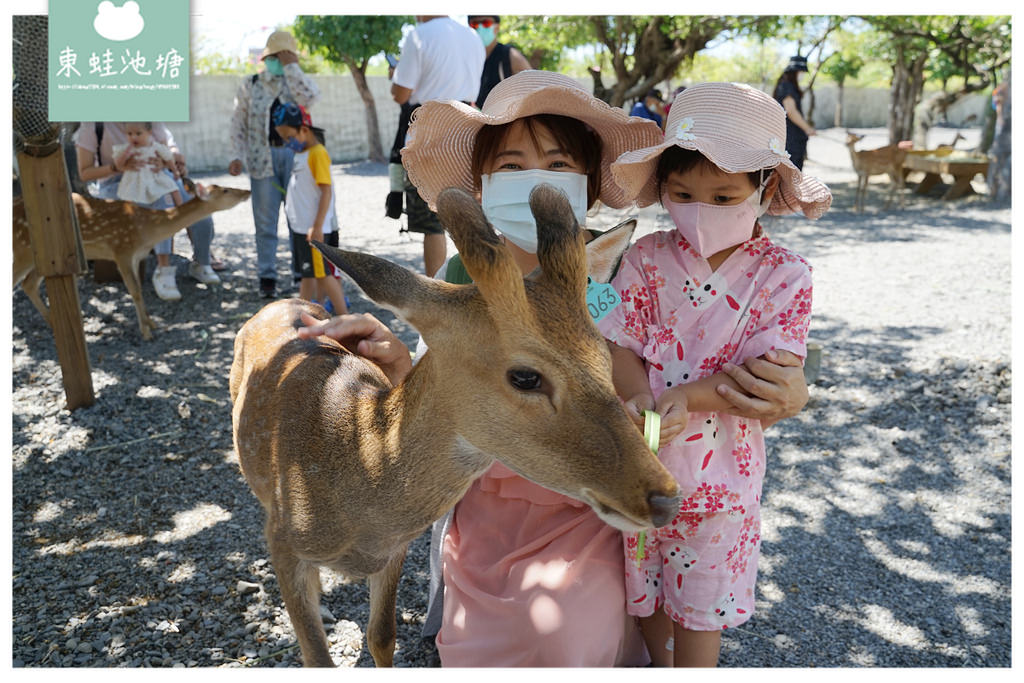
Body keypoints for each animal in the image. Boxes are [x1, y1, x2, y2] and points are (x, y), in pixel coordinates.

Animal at [15, 183, 249, 339]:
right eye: (226, 190)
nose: (247, 191)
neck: (145, 229)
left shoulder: (136, 256)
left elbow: (139, 290)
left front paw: (151, 323)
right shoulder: (122, 250)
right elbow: (134, 290)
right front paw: (145, 332)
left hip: (43, 258)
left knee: (28, 283)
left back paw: (53, 324)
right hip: (22, 249)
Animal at [231, 185, 679, 667]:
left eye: (604, 356)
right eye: (526, 376)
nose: (665, 498)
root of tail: (282, 301)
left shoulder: (395, 551)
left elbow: (382, 635)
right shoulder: (281, 541)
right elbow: (317, 657)